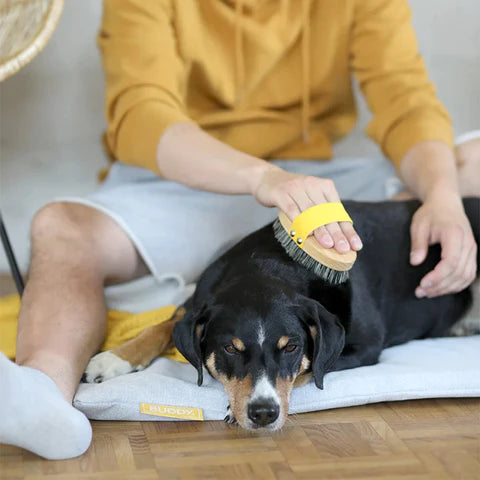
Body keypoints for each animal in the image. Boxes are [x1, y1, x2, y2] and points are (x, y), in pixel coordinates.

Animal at [84, 197, 478, 430]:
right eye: (230, 349)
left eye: (291, 347)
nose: (263, 413)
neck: (266, 266)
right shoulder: (195, 304)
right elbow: (161, 327)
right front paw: (113, 359)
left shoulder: (362, 348)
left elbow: (309, 369)